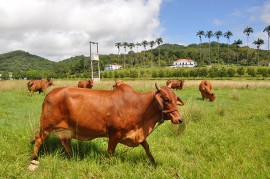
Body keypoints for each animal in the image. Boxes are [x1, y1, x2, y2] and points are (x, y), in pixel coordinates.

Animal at [28, 82, 185, 171]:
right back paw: (34, 158)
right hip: (46, 127)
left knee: (65, 142)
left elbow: (146, 146)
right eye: (166, 99)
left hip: (65, 129)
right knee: (38, 139)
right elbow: (110, 152)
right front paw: (109, 164)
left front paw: (152, 162)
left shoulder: (136, 133)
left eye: (176, 99)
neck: (140, 107)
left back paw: (73, 157)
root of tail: (49, 94)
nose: (179, 119)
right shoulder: (114, 134)